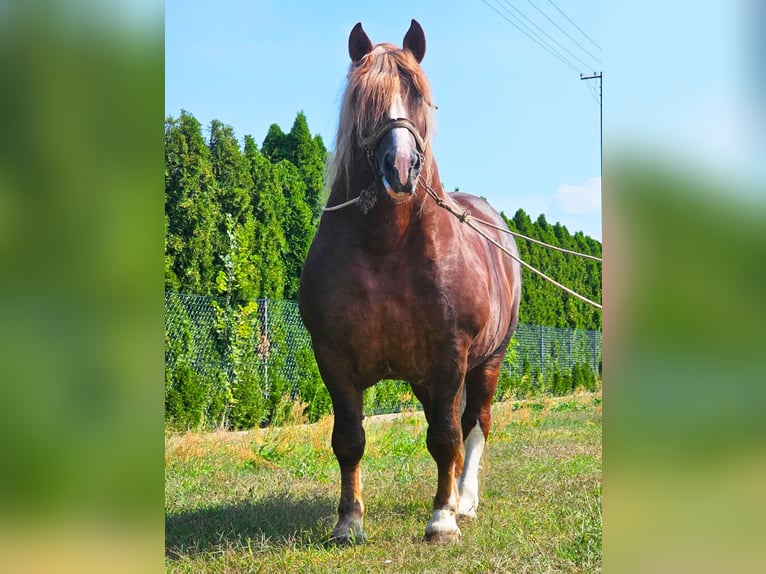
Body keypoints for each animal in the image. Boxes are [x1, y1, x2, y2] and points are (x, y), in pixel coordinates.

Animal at [300, 20, 520, 548]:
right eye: (365, 99)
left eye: (417, 94)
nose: (401, 168)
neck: (387, 246)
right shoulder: (332, 356)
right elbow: (349, 439)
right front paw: (348, 522)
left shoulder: (450, 354)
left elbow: (444, 438)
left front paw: (442, 520)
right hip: (426, 378)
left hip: (487, 362)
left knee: (474, 424)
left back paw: (465, 500)